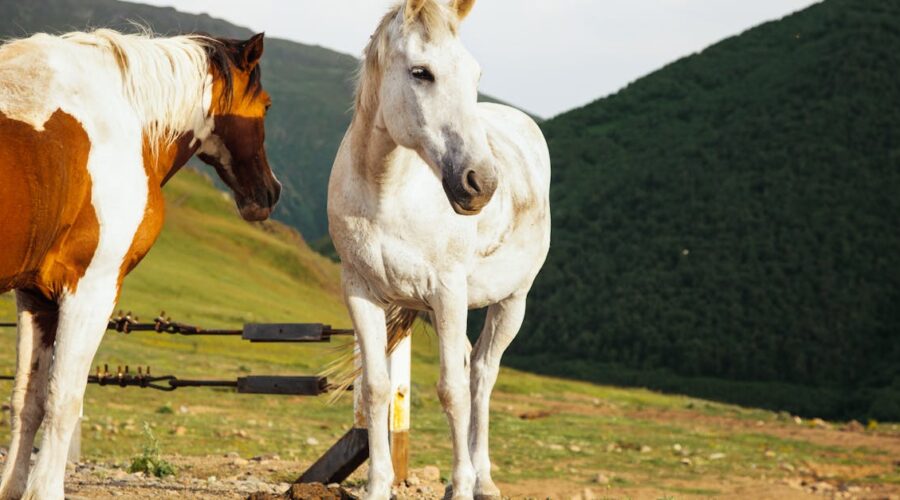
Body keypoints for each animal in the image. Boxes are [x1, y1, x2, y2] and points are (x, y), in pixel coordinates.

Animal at [0, 29, 280, 499]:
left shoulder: (35, 296)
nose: (270, 192)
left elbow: (28, 399)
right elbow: (64, 400)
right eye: (266, 105)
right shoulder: (90, 290)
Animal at [327, 0, 551, 498]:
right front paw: (377, 486)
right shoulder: (359, 291)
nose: (481, 182)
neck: (387, 192)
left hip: (512, 302)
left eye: (475, 73)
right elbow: (375, 387)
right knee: (470, 365)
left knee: (481, 376)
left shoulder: (447, 291)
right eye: (421, 72)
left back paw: (481, 481)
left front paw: (463, 485)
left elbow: (452, 391)